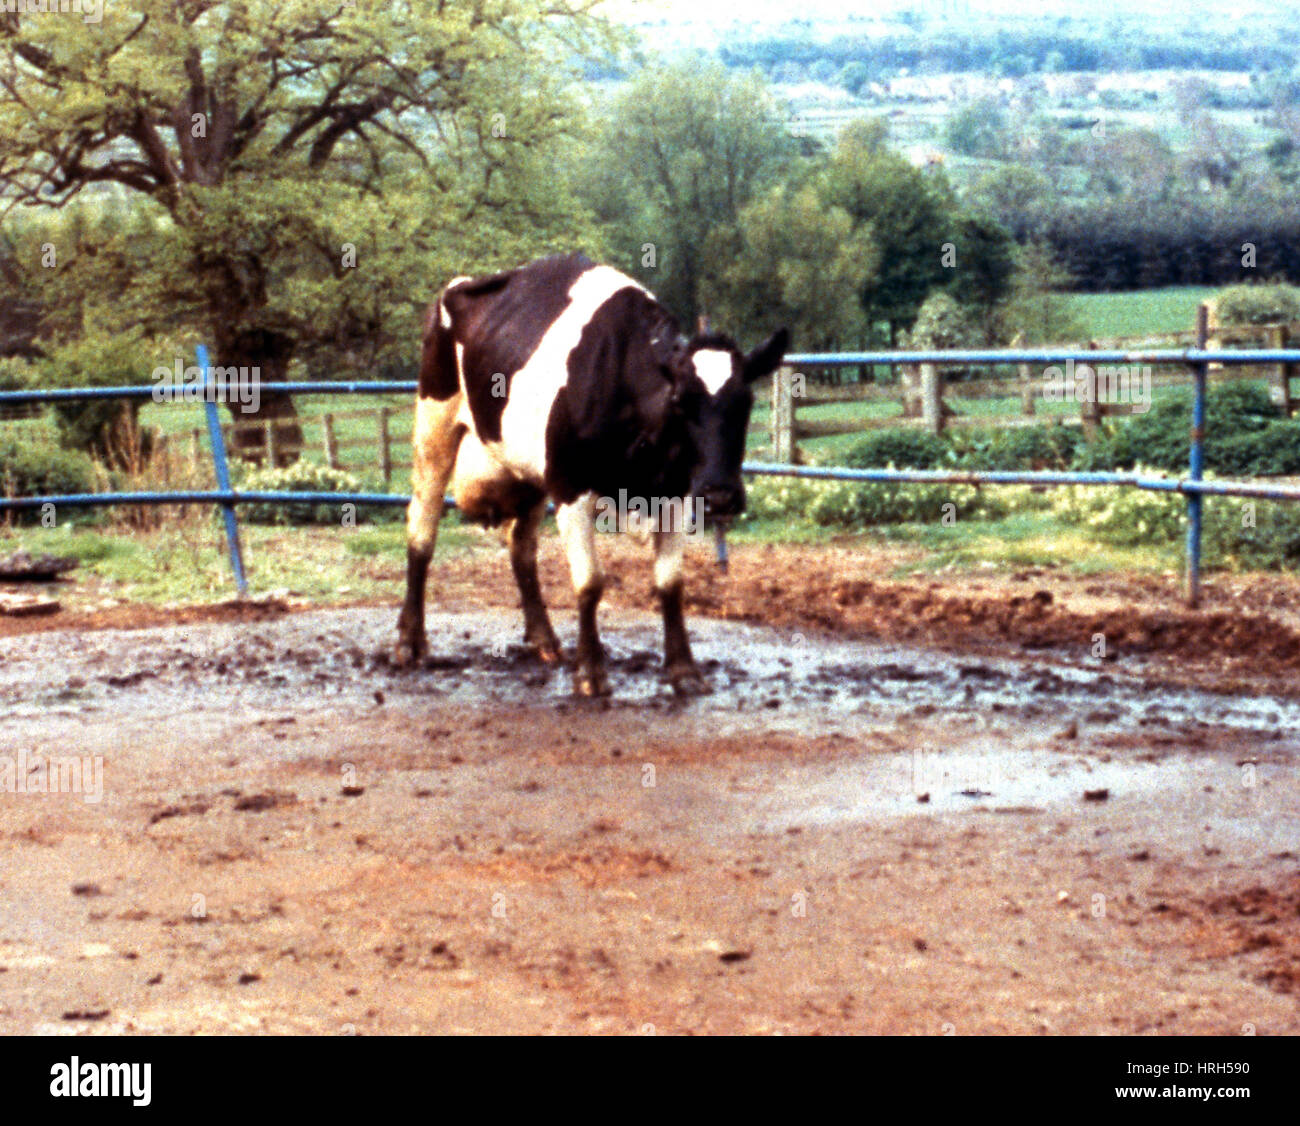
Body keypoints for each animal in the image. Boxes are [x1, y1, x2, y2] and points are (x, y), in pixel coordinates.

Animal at [390, 252, 785, 691]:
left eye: (746, 401)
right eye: (681, 401)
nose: (720, 495)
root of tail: (461, 285)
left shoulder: (678, 491)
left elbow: (670, 584)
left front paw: (683, 668)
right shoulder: (570, 486)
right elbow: (590, 582)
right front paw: (591, 672)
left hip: (530, 471)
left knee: (521, 548)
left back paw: (544, 639)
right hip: (434, 425)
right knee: (421, 530)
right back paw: (410, 641)